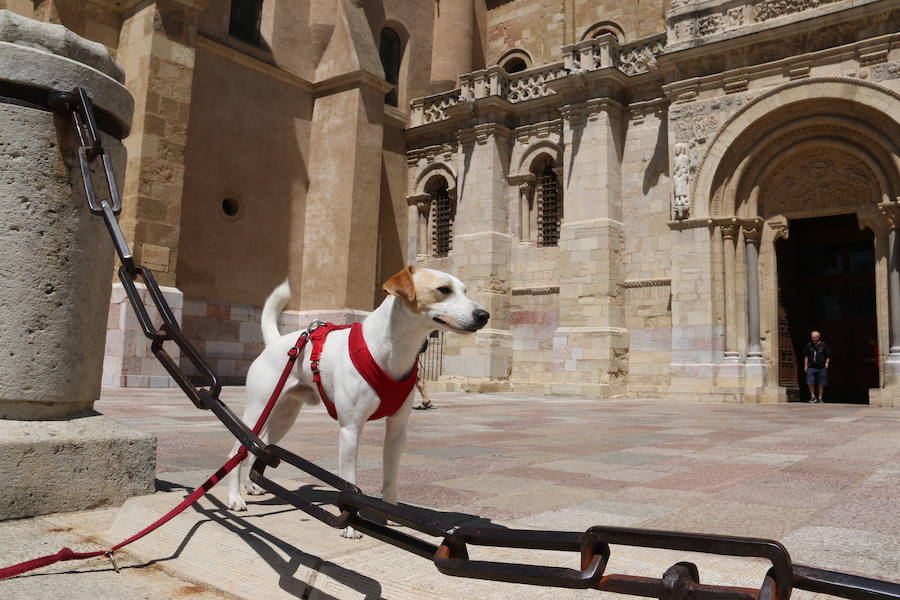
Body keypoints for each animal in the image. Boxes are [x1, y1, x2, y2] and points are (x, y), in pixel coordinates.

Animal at [229, 268, 488, 540]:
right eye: (443, 290)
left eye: (465, 291)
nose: (484, 315)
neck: (393, 350)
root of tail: (277, 343)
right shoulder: (350, 429)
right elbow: (349, 482)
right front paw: (350, 525)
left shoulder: (397, 430)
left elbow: (390, 478)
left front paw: (391, 515)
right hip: (259, 407)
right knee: (237, 449)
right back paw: (235, 498)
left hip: (284, 416)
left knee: (260, 445)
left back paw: (251, 484)